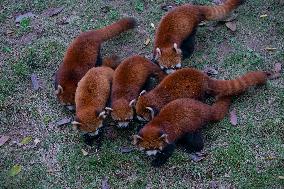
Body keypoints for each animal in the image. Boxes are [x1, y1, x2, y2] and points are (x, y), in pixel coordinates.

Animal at [135, 68, 276, 121]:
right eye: (137, 112)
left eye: (141, 115)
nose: (136, 118)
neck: (156, 95)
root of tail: (204, 78)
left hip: (196, 92)